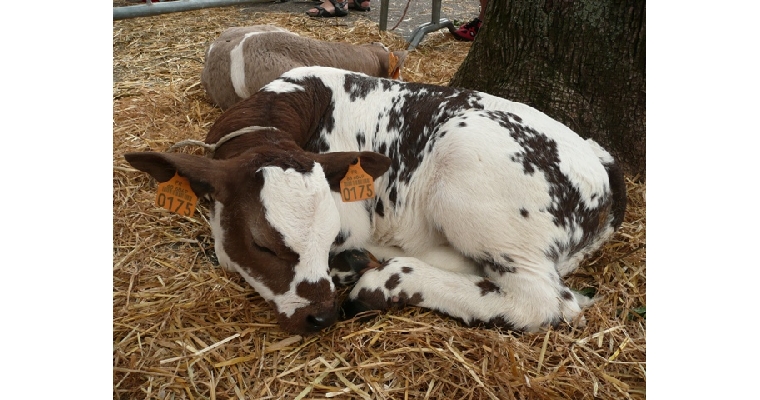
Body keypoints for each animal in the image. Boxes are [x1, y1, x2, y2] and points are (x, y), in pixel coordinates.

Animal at [125, 66, 627, 335]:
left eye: (328, 232)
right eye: (262, 244)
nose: (321, 315)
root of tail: (601, 159)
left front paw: (350, 265)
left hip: (474, 188)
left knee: (544, 300)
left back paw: (383, 282)